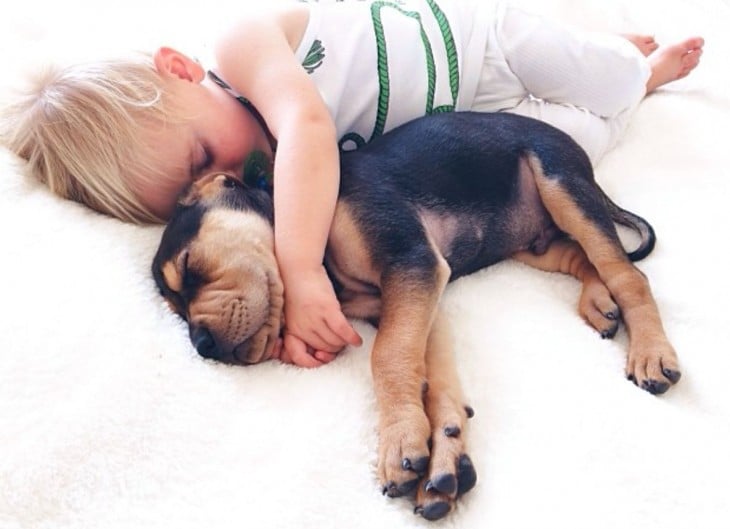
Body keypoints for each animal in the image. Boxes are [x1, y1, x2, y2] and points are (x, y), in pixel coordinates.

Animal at [151, 111, 680, 520]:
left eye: (190, 269)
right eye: (174, 304)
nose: (201, 345)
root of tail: (582, 158)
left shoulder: (413, 264)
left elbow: (387, 358)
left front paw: (399, 445)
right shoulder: (417, 295)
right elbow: (429, 374)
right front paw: (441, 458)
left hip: (560, 184)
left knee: (627, 272)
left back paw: (651, 353)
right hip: (535, 246)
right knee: (586, 260)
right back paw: (598, 302)